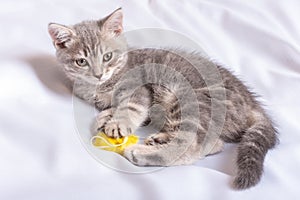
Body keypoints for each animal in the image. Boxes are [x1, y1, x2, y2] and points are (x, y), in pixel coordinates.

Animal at [48, 7, 278, 189]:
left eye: (107, 57)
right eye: (81, 61)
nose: (98, 74)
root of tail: (252, 103)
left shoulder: (139, 89)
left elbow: (131, 107)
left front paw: (117, 122)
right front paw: (106, 117)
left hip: (192, 100)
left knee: (193, 146)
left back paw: (143, 153)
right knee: (214, 143)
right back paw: (160, 138)